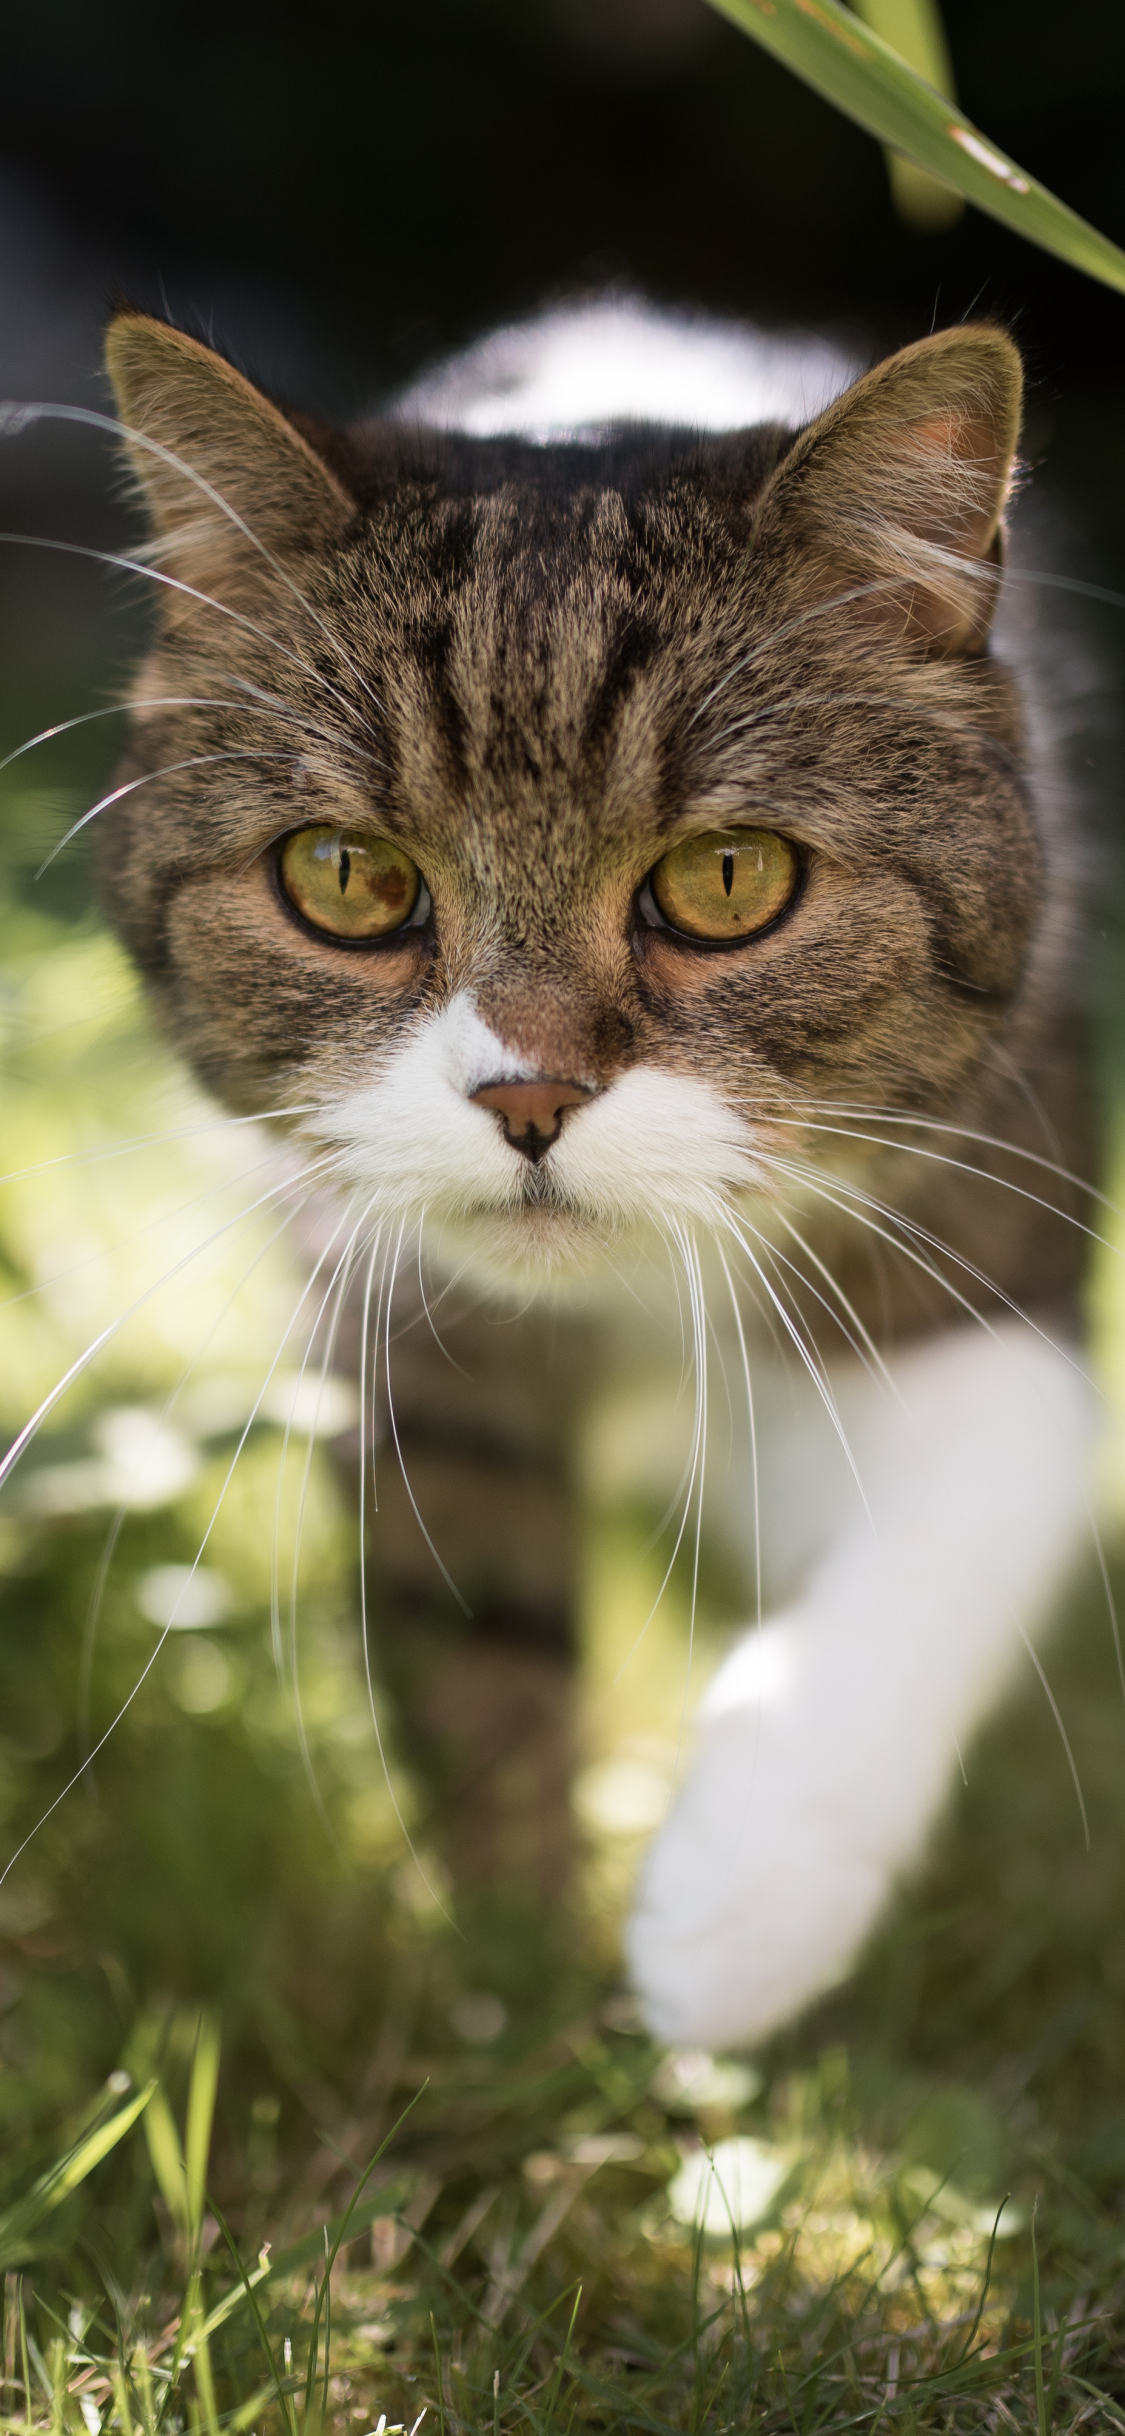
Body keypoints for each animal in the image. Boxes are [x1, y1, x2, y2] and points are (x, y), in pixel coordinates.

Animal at [92, 299, 1095, 2055]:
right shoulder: (406, 1336)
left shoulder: (985, 1224)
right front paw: (522, 1986)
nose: (530, 1095)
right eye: (346, 876)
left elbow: (965, 1504)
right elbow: (484, 1643)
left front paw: (738, 1911)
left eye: (729, 878)